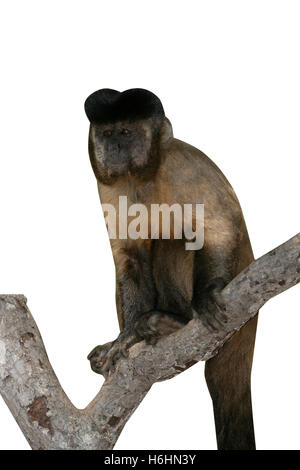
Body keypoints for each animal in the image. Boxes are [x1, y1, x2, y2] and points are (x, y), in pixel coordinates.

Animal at [84, 88, 258, 452]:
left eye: (126, 132)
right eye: (107, 133)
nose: (114, 146)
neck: (141, 176)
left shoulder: (184, 165)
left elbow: (217, 228)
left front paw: (206, 295)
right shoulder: (107, 185)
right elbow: (130, 257)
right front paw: (126, 337)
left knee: (174, 240)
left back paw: (175, 321)